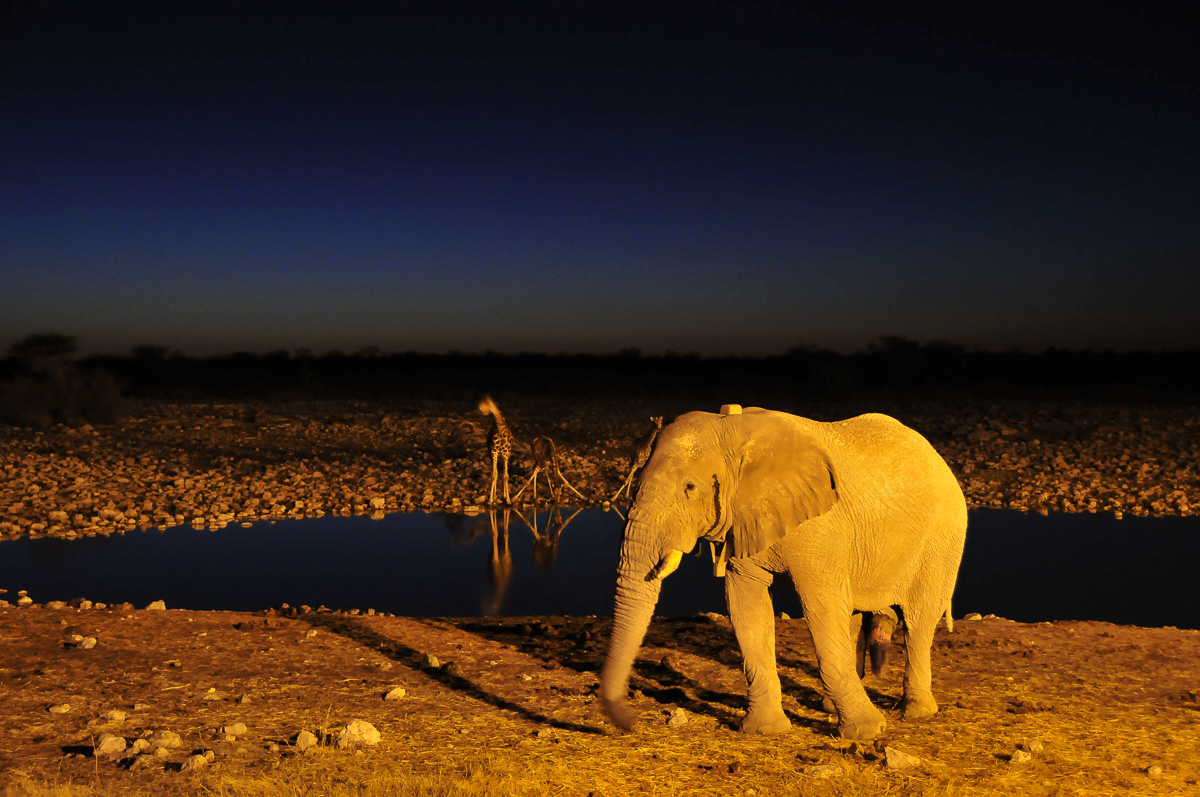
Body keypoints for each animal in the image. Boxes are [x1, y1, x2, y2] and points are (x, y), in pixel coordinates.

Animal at [598, 405, 967, 740]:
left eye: (690, 488)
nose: (628, 724)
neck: (731, 430)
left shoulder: (822, 526)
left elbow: (820, 607)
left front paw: (867, 732)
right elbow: (746, 604)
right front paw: (764, 730)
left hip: (943, 537)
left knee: (918, 622)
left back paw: (915, 712)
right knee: (852, 614)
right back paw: (829, 706)